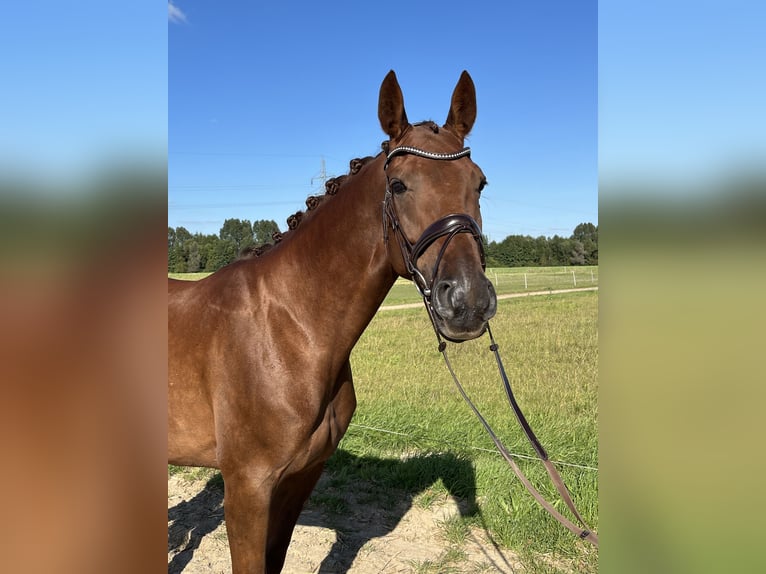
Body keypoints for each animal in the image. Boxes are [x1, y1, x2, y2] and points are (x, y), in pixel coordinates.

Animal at [168, 72, 498, 574]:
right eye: (398, 185)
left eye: (478, 183)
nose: (467, 301)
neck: (289, 330)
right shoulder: (246, 489)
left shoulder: (299, 479)